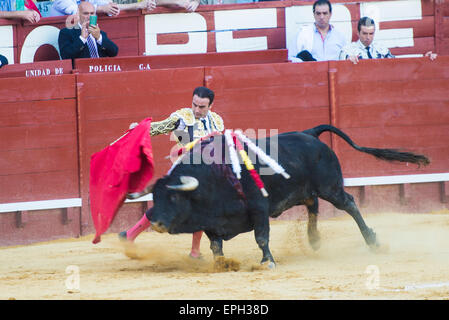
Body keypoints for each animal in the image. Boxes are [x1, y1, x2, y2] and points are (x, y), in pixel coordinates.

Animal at [146, 126, 428, 266]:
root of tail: (311, 134)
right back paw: (314, 240)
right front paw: (221, 264)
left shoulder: (259, 208)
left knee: (349, 204)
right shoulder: (211, 221)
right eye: (155, 198)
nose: (155, 222)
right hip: (306, 190)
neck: (213, 177)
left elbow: (261, 237)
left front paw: (267, 262)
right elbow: (216, 246)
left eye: (173, 198)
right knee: (313, 205)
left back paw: (373, 241)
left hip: (330, 188)